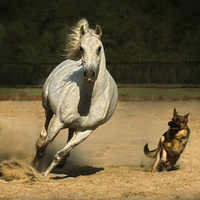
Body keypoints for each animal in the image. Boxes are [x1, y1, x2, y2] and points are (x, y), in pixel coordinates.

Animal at [31, 19, 118, 178]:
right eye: (81, 48)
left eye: (99, 48)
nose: (89, 74)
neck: (88, 101)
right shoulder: (58, 122)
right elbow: (43, 149)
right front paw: (31, 167)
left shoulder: (85, 132)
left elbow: (60, 153)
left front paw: (44, 174)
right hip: (46, 104)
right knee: (46, 121)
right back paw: (40, 140)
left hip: (75, 127)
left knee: (69, 133)